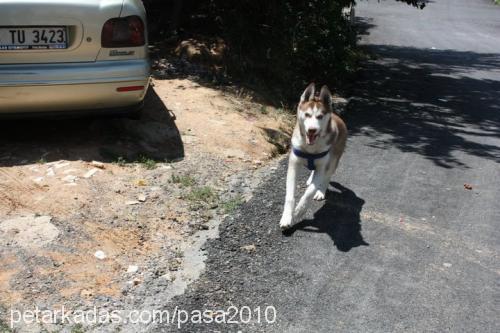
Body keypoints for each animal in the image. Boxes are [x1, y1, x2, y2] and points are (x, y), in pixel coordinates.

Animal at [280, 82, 346, 228]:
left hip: (334, 160)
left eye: (320, 116)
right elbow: (289, 195)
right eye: (307, 115)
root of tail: (337, 117)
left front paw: (299, 211)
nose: (312, 130)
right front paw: (287, 216)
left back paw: (320, 192)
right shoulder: (293, 165)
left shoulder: (322, 167)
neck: (310, 148)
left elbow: (309, 192)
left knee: (327, 176)